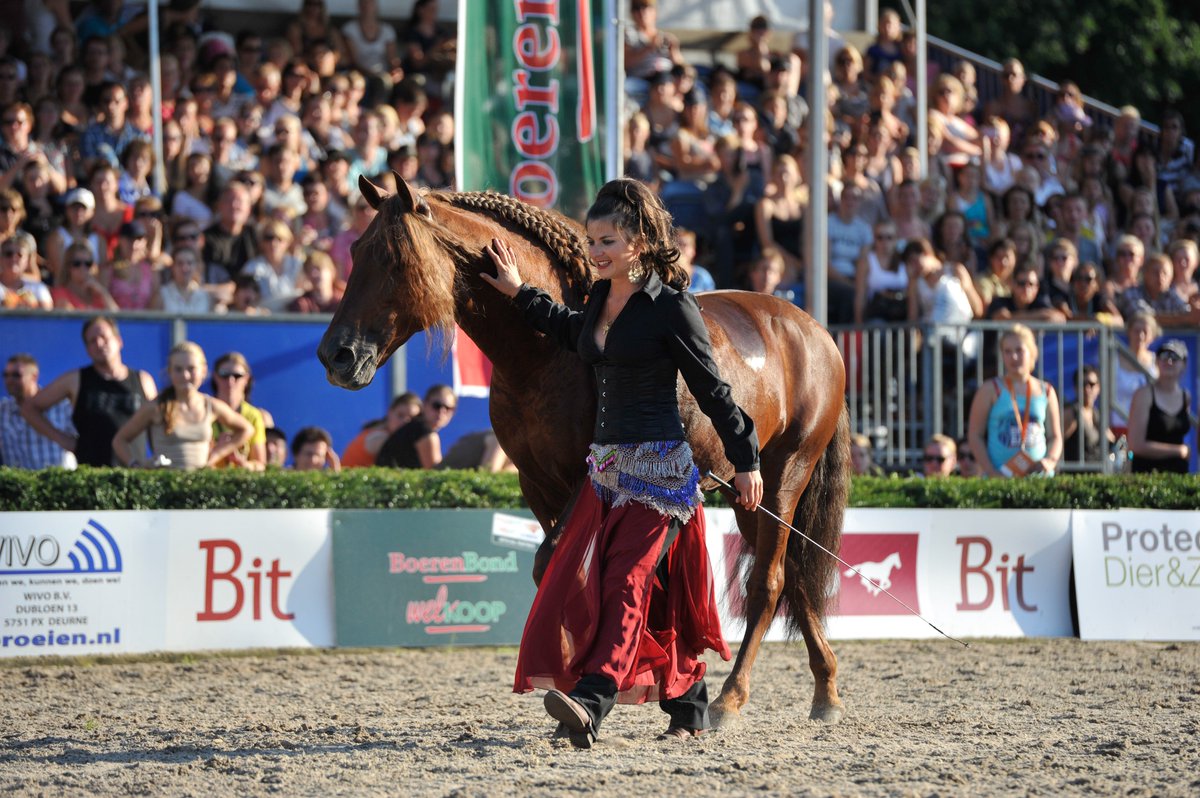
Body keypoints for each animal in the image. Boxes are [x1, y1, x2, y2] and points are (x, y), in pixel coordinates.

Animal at [318, 175, 851, 724]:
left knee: (767, 582)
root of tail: (814, 331)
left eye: (393, 259)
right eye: (354, 252)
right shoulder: (537, 483)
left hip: (785, 475)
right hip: (748, 494)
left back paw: (731, 697)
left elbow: (568, 566)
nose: (336, 355)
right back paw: (824, 690)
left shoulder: (588, 476)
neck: (543, 356)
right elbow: (567, 571)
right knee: (793, 575)